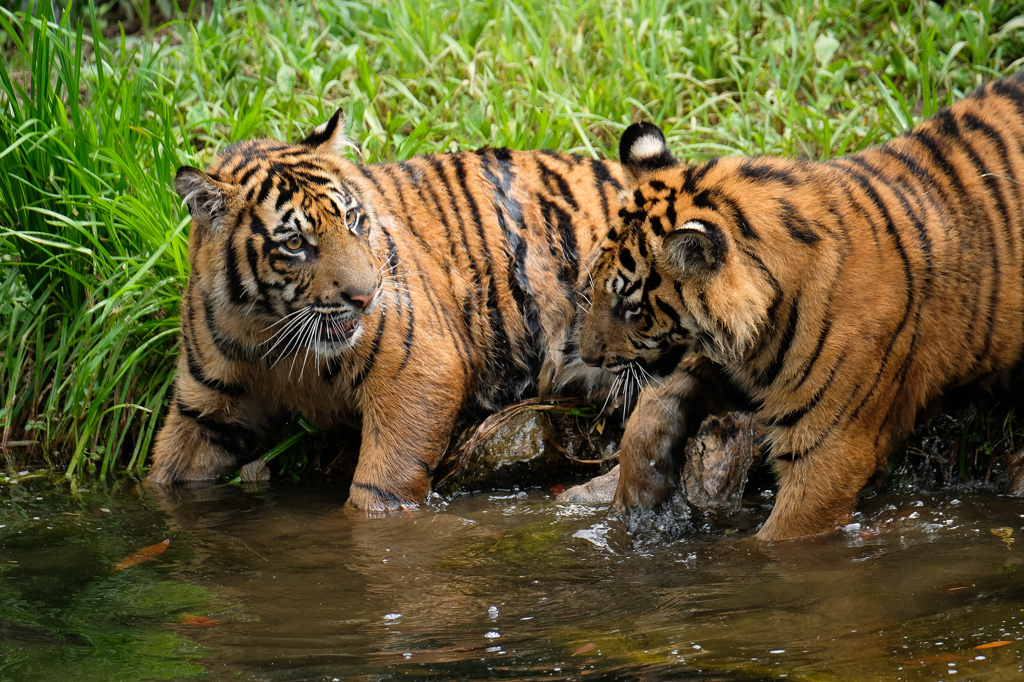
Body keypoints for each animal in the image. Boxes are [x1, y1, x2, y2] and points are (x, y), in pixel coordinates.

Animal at [149, 109, 729, 507]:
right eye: (295, 244)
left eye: (353, 220)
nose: (367, 296)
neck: (273, 336)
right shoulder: (204, 409)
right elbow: (164, 474)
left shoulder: (417, 369)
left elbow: (380, 486)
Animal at [581, 71, 1024, 540]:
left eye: (630, 306)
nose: (588, 358)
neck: (769, 320)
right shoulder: (739, 369)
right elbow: (653, 406)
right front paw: (638, 496)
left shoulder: (828, 449)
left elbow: (781, 542)